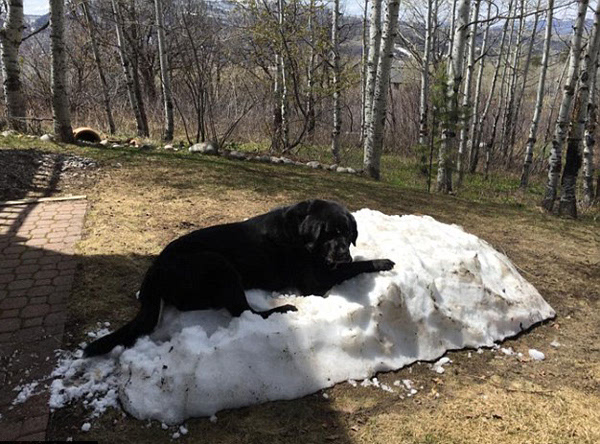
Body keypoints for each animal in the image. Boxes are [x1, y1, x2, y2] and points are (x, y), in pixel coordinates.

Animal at [84, 199, 394, 356]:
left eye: (348, 233)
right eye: (329, 234)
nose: (343, 254)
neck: (302, 235)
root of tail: (153, 273)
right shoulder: (315, 283)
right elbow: (356, 267)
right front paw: (382, 261)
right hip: (218, 264)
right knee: (244, 311)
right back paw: (282, 308)